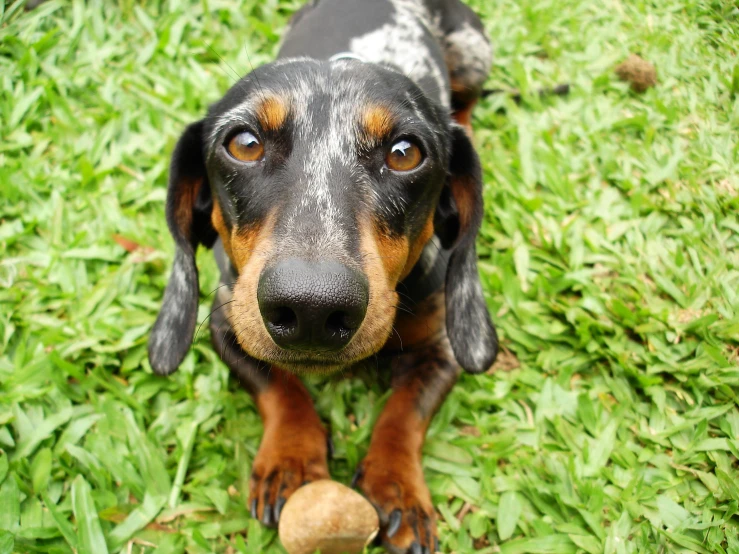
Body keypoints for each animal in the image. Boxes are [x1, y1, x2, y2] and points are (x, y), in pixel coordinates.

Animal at [149, 2, 498, 548]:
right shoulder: (228, 325)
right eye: (243, 143)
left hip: (472, 53)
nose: (311, 306)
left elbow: (405, 413)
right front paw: (291, 459)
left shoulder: (443, 348)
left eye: (405, 152)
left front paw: (397, 486)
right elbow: (278, 388)